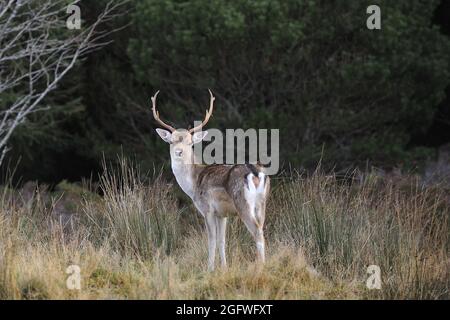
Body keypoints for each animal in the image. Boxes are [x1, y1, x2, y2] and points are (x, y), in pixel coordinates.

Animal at [151, 89, 270, 270]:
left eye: (190, 142)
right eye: (171, 141)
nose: (178, 152)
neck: (193, 183)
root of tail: (255, 172)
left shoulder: (207, 208)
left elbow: (211, 240)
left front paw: (210, 268)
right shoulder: (222, 214)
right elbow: (222, 241)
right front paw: (224, 268)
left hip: (243, 203)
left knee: (257, 231)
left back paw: (261, 267)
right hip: (261, 204)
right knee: (262, 229)